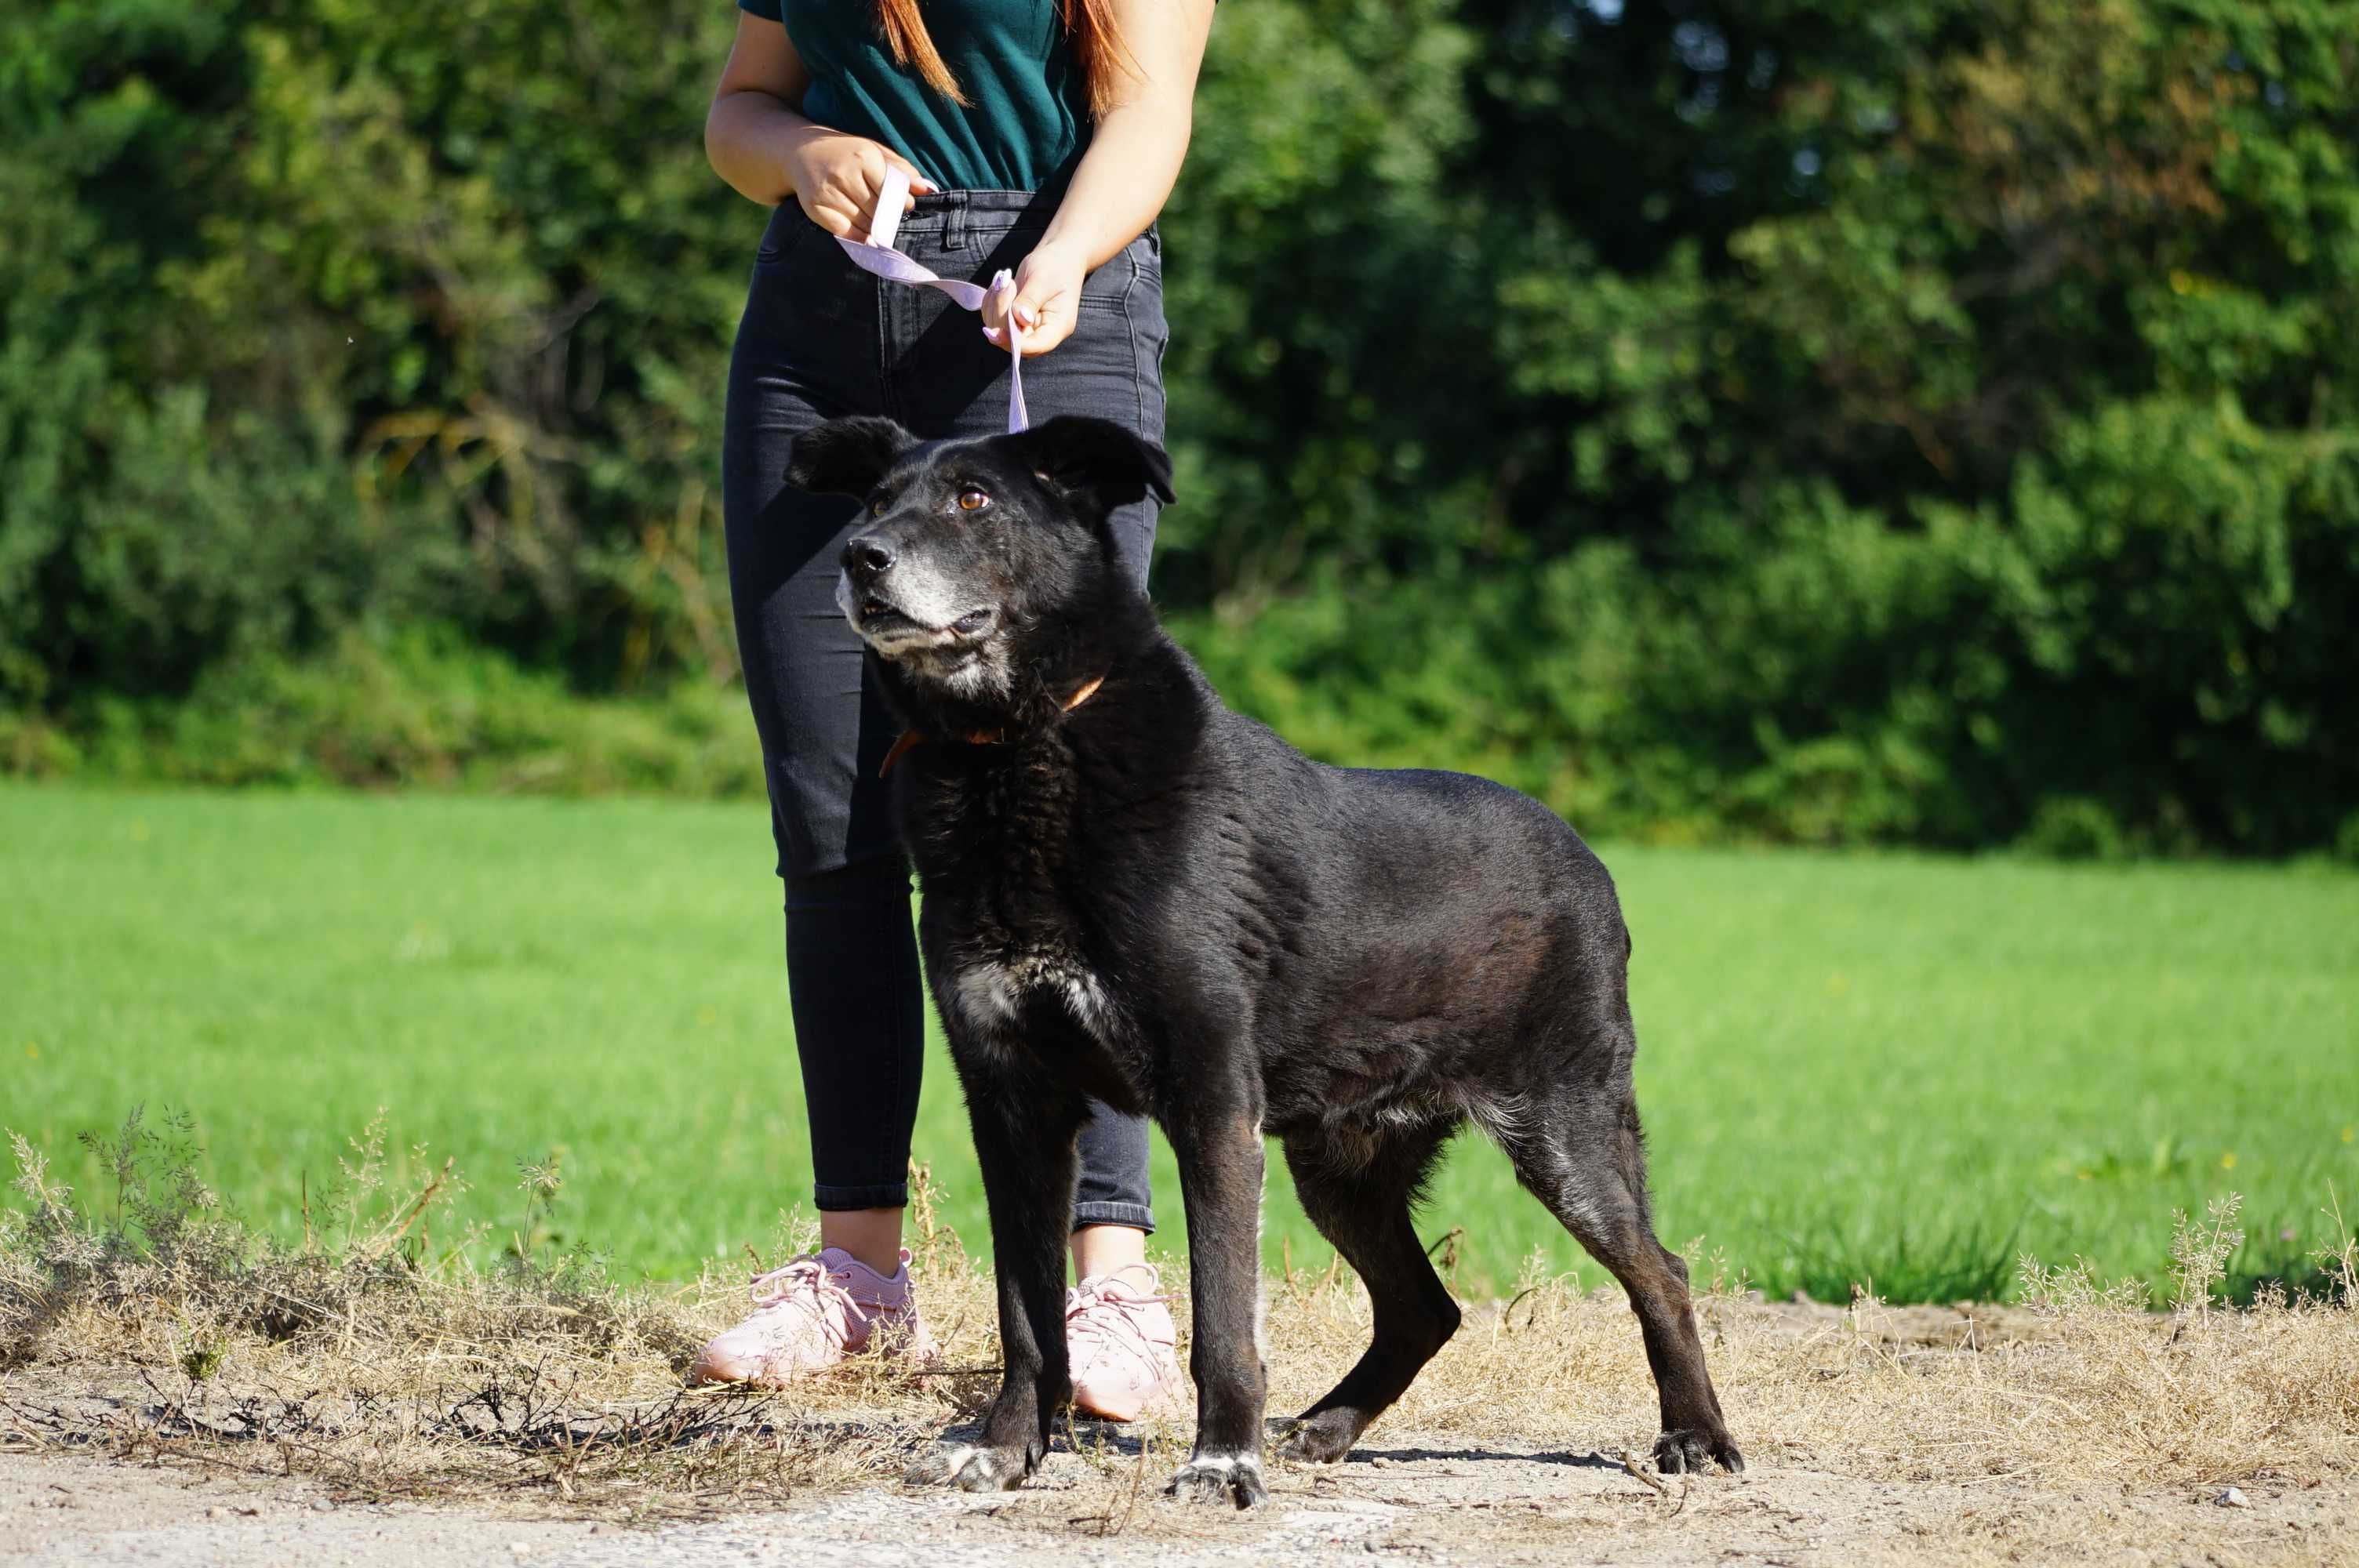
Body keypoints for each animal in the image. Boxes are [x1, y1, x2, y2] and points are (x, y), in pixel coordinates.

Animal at [787, 412, 1736, 1508]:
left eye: (972, 498)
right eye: (871, 501)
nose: (860, 558)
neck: (1017, 751)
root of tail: (1588, 861)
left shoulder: (1210, 1101)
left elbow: (1222, 1320)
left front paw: (1218, 1461)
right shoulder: (1014, 1103)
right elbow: (1024, 1314)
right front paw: (1008, 1447)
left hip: (1562, 1132)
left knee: (1658, 1271)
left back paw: (1695, 1435)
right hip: (1341, 1163)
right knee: (1424, 1306)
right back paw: (1328, 1425)